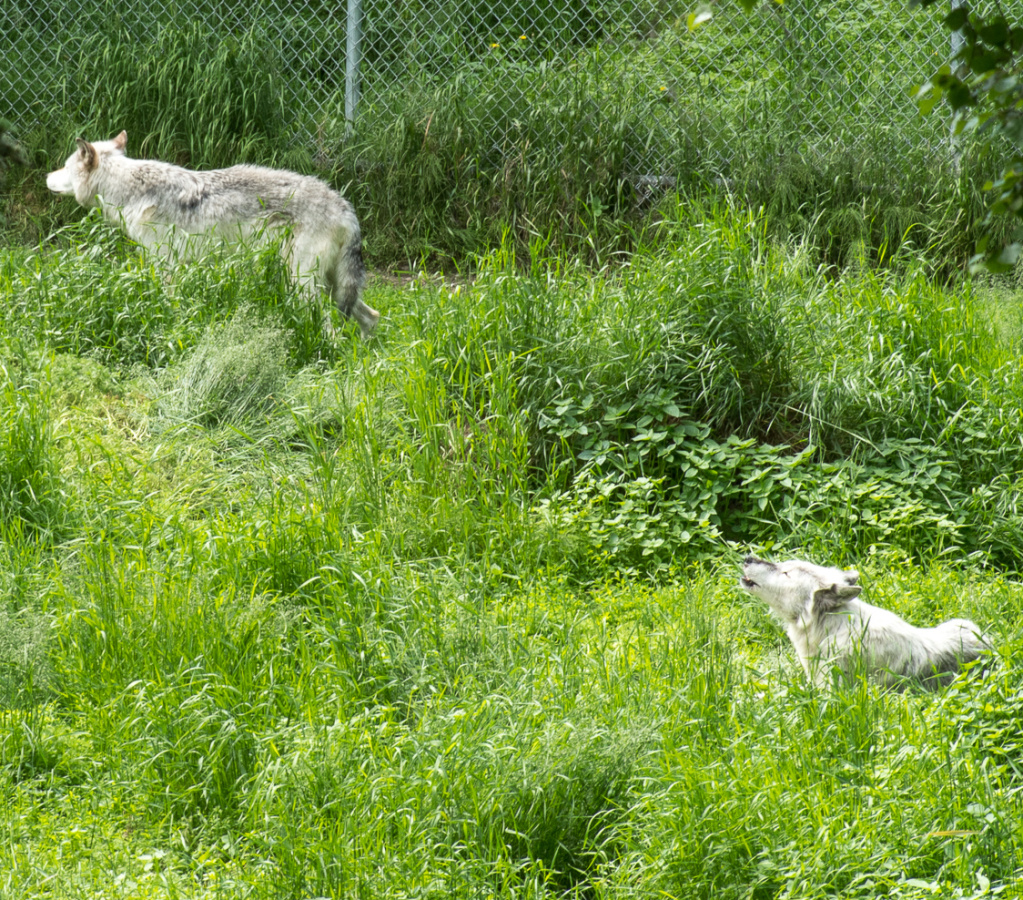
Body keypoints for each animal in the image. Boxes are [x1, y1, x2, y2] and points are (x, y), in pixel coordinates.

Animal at [46, 131, 379, 338]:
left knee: (333, 330)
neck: (133, 192)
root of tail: (346, 208)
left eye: (63, 167)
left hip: (303, 287)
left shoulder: (167, 267)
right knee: (371, 317)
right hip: (333, 289)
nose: (46, 176)